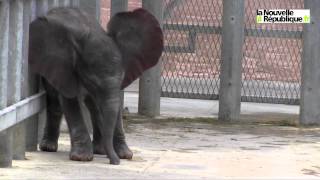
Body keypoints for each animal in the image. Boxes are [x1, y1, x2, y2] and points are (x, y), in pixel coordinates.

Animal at [28, 7, 164, 165]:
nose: (115, 162)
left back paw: (100, 150)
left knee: (94, 107)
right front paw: (81, 158)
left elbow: (115, 104)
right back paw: (49, 147)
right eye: (91, 81)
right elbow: (70, 102)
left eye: (122, 77)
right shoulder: (65, 70)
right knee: (55, 101)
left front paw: (125, 155)